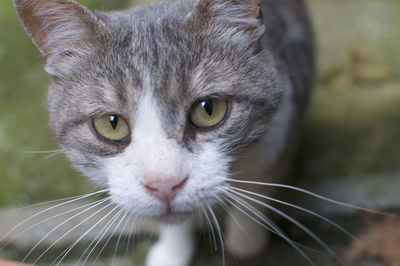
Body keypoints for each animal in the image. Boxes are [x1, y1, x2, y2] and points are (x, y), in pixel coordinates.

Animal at [12, 0, 314, 264]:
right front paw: (172, 252)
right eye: (111, 123)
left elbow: (259, 186)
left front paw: (246, 240)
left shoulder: (284, 126)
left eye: (209, 109)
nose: (164, 184)